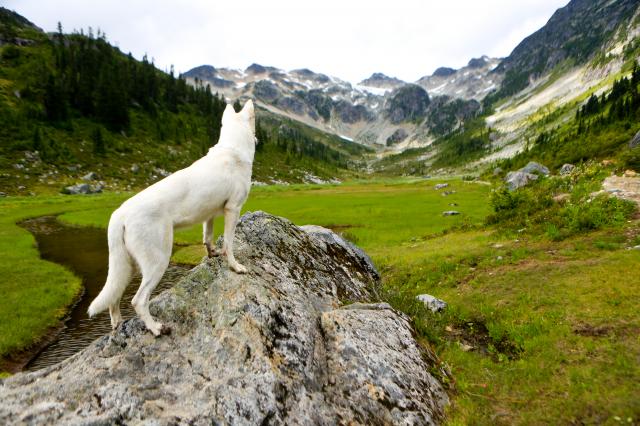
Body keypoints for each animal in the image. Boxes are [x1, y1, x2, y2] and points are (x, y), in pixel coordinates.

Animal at [88, 100, 258, 336]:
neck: (232, 147)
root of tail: (119, 214)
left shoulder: (210, 214)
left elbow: (208, 237)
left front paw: (212, 254)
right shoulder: (233, 209)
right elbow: (230, 245)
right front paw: (235, 266)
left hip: (127, 265)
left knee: (114, 297)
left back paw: (118, 325)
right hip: (158, 260)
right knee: (138, 300)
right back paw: (156, 328)